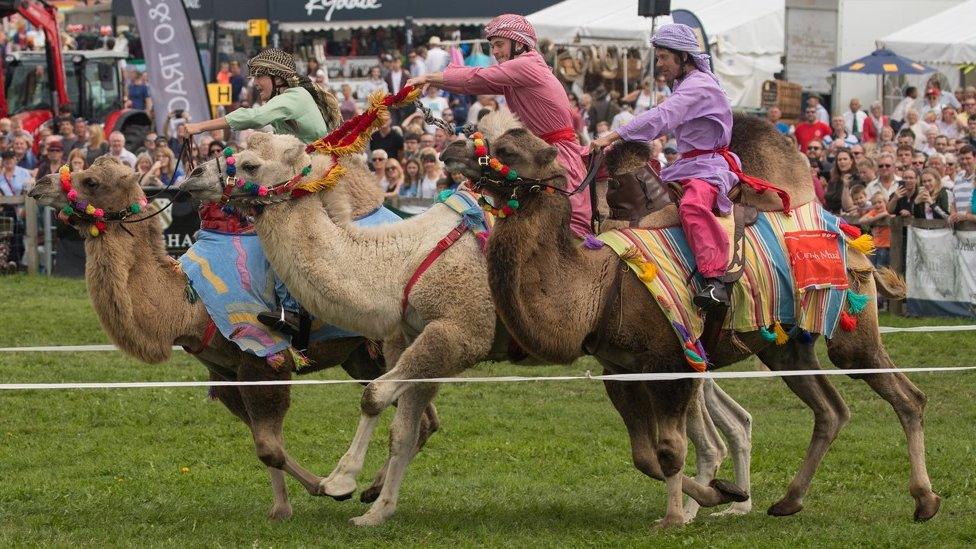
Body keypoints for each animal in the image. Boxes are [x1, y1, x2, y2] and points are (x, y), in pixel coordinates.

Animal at [26, 156, 440, 520]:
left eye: (91, 181)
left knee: (416, 414)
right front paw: (282, 509)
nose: (39, 183)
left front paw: (327, 487)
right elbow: (265, 443)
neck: (189, 307)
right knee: (424, 417)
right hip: (361, 354)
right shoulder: (225, 372)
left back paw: (372, 490)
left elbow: (268, 446)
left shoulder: (263, 358)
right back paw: (374, 489)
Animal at [179, 133, 752, 528]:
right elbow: (403, 426)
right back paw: (721, 496)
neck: (395, 262)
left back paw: (701, 504)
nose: (191, 178)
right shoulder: (410, 338)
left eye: (249, 162)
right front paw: (376, 512)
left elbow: (375, 397)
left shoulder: (459, 332)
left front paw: (341, 481)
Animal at [438, 109, 940, 524]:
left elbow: (671, 449)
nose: (451, 148)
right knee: (831, 410)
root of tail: (853, 239)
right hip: (787, 346)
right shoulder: (620, 369)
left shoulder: (673, 362)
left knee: (906, 396)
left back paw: (924, 501)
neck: (600, 285)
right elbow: (645, 456)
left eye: (507, 150)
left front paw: (678, 518)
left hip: (852, 331)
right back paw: (788, 500)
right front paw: (725, 493)